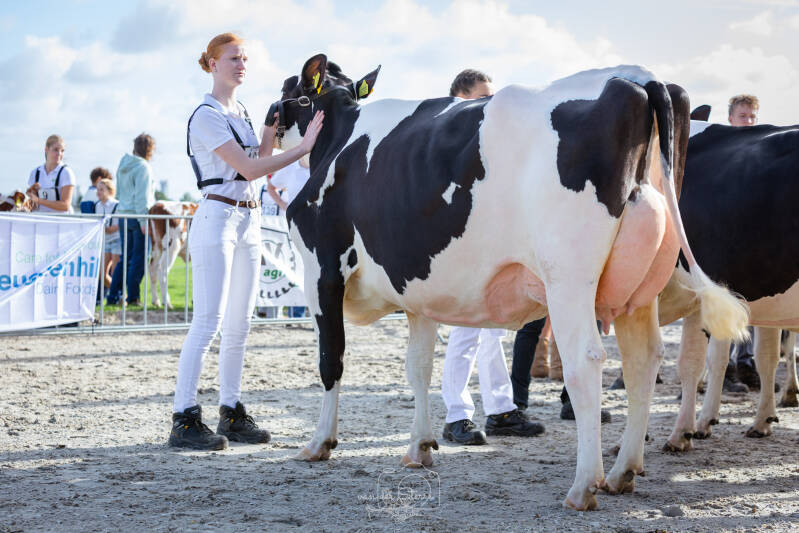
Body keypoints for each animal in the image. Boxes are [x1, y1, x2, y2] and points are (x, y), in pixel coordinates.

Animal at [269, 54, 748, 510]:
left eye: (289, 89)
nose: (270, 116)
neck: (337, 138)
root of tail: (638, 76)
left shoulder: (321, 268)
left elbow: (331, 360)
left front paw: (319, 443)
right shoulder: (418, 289)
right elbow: (418, 367)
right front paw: (419, 447)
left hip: (568, 276)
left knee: (586, 363)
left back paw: (583, 486)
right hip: (641, 284)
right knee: (643, 361)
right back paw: (622, 472)